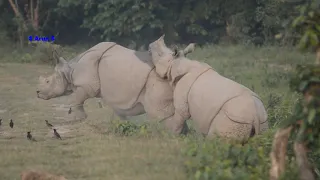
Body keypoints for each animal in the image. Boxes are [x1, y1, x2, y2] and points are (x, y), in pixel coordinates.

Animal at [36, 41, 194, 131]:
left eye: (48, 82)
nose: (37, 92)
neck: (69, 70)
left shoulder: (87, 85)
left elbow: (76, 100)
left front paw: (77, 119)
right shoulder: (118, 97)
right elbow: (119, 112)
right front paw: (119, 126)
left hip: (158, 78)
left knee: (160, 114)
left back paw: (170, 137)